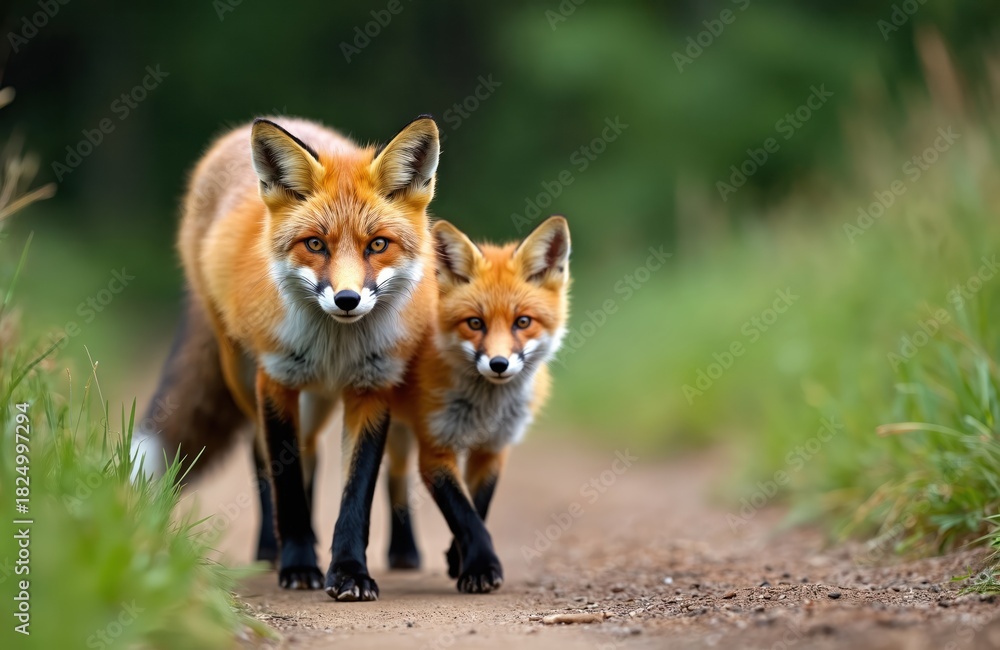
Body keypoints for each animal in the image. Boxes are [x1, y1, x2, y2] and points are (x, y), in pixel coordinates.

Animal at [131, 114, 441, 601]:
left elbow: (356, 494)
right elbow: (288, 485)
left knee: (338, 456)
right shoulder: (275, 381)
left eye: (377, 245)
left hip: (324, 399)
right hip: (242, 373)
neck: (335, 347)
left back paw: (400, 552)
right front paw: (298, 566)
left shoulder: (372, 388)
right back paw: (270, 549)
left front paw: (349, 572)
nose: (347, 300)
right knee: (261, 454)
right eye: (315, 245)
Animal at [386, 216, 571, 593]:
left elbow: (478, 508)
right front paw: (481, 568)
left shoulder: (493, 448)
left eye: (523, 322)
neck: (486, 409)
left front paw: (459, 560)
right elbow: (463, 513)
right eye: (475, 323)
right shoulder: (435, 448)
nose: (499, 364)